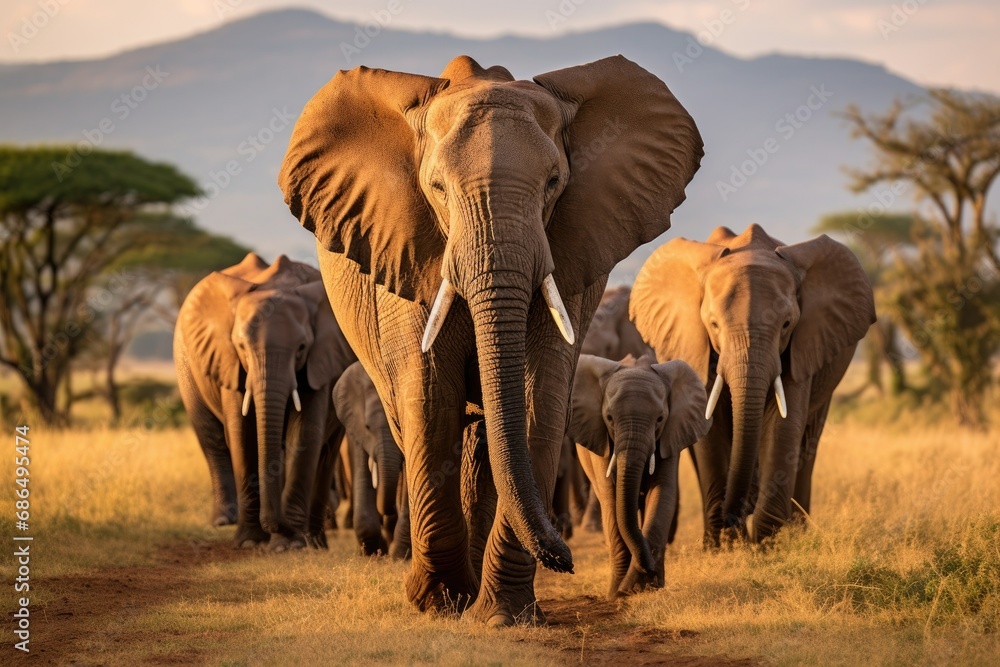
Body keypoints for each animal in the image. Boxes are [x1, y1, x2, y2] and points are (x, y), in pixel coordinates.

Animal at [174, 253, 357, 550]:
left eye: (301, 348)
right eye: (241, 347)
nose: (280, 528)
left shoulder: (321, 361)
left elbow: (305, 433)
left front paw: (289, 545)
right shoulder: (230, 363)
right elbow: (242, 435)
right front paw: (250, 542)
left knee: (327, 451)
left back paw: (316, 542)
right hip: (186, 367)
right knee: (210, 436)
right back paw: (223, 520)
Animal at [569, 354, 708, 598]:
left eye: (660, 418)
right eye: (609, 418)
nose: (649, 567)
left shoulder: (670, 436)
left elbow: (662, 493)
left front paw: (639, 586)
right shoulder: (601, 440)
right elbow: (612, 499)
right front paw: (619, 592)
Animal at [630, 224, 875, 545]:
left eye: (786, 324)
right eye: (713, 325)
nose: (735, 515)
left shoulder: (799, 348)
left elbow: (783, 425)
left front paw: (768, 543)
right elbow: (710, 429)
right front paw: (725, 547)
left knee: (809, 439)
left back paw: (796, 531)